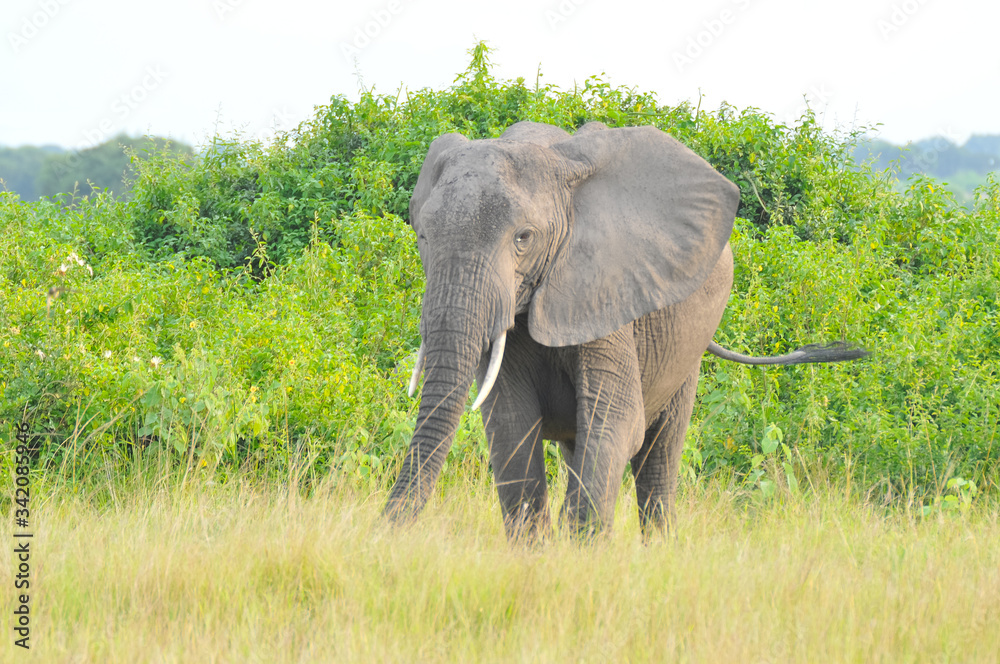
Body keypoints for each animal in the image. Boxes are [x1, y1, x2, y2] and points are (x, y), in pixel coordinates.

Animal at [383, 120, 867, 540]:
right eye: (422, 236)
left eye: (523, 238)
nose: (384, 533)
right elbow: (511, 424)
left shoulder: (607, 289)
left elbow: (617, 421)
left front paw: (582, 553)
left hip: (685, 351)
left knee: (658, 458)